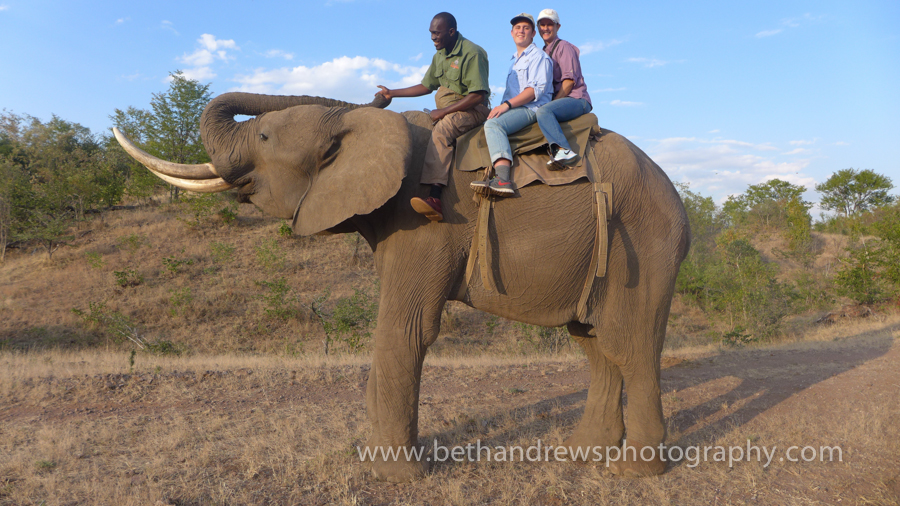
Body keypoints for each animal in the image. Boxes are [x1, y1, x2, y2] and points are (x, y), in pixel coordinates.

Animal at [112, 91, 688, 482]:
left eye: (264, 138)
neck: (361, 124)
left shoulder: (428, 218)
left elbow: (406, 329)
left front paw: (394, 476)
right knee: (593, 344)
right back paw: (582, 454)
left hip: (642, 243)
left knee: (629, 345)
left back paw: (635, 471)